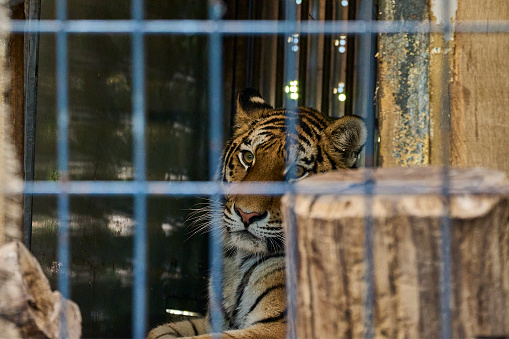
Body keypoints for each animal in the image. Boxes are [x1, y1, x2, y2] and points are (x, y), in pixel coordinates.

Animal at [147, 88, 366, 339]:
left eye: (297, 171)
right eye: (248, 157)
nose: (246, 214)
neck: (238, 261)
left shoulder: (277, 327)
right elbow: (161, 331)